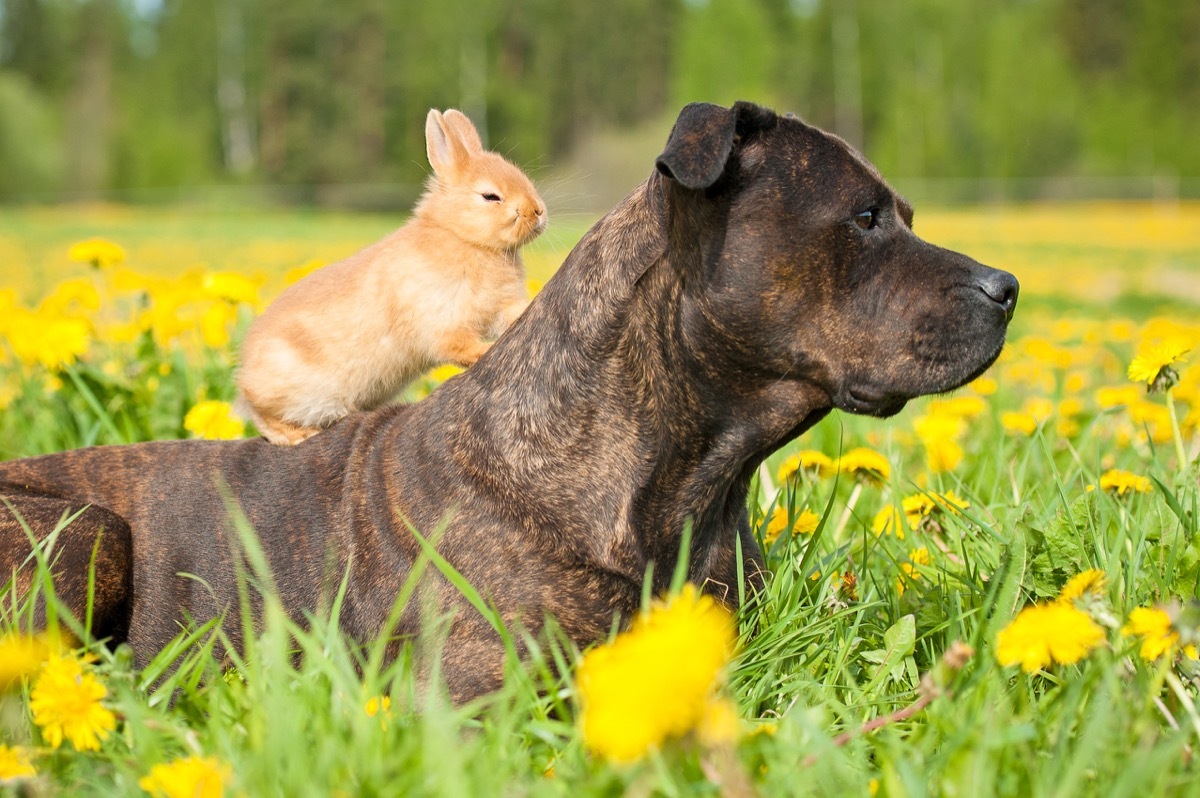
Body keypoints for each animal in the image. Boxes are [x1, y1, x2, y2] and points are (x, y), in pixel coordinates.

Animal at [236, 108, 547, 444]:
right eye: (490, 196)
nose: (538, 211)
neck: (462, 236)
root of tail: (245, 376)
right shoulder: (442, 321)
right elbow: (458, 346)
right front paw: (485, 351)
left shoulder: (501, 306)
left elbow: (514, 313)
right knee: (263, 416)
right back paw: (298, 435)